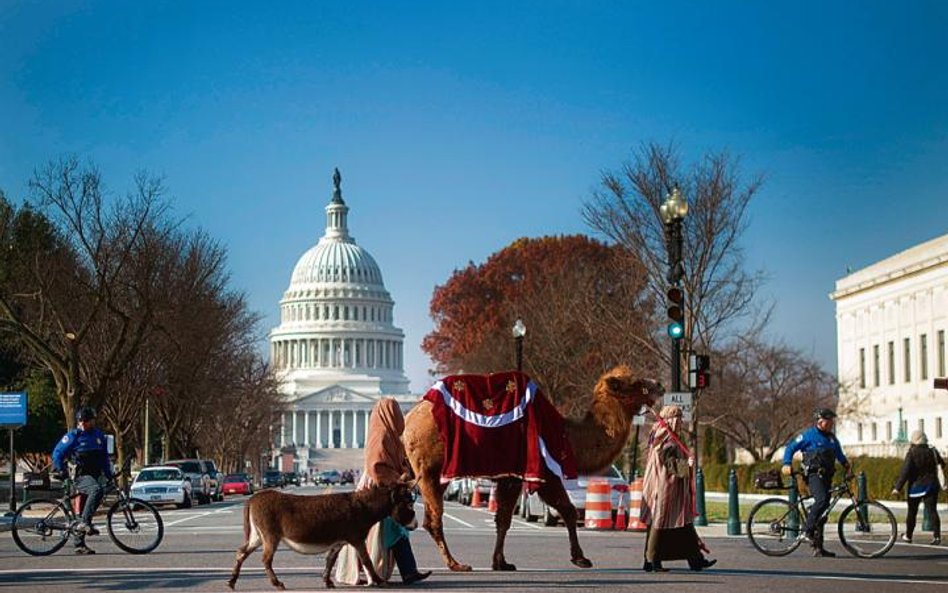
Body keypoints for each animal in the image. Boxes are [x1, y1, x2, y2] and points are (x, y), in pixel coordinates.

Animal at [404, 364, 664, 572]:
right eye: (634, 383)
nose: (660, 384)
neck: (566, 436)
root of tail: (409, 420)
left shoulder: (510, 476)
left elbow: (503, 519)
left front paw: (501, 563)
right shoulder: (543, 473)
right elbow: (567, 510)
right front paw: (581, 559)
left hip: (433, 473)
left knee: (426, 517)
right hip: (430, 469)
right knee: (434, 519)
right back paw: (456, 564)